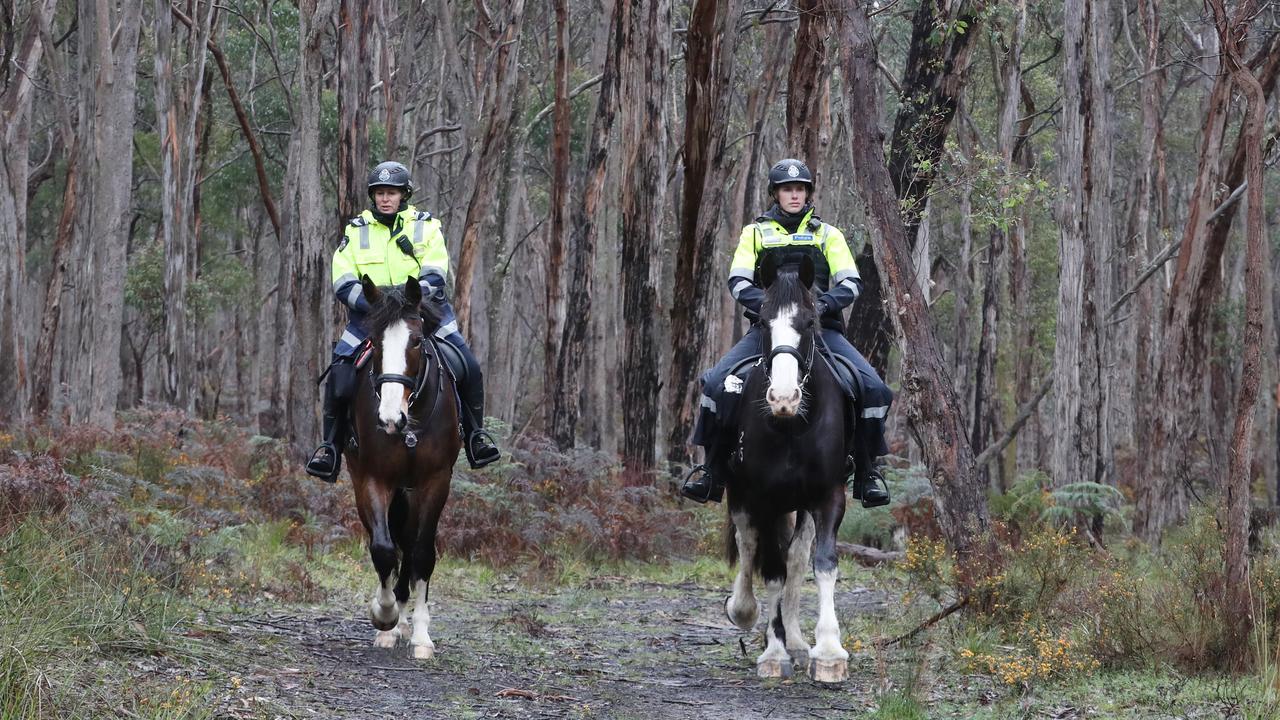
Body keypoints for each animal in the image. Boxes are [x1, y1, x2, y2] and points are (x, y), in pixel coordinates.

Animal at [345, 274, 460, 655]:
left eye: (417, 341)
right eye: (375, 342)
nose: (390, 419)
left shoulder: (435, 481)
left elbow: (422, 552)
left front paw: (422, 636)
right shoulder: (374, 478)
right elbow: (383, 550)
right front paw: (385, 617)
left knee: (410, 545)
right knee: (389, 541)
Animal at [721, 252, 849, 676]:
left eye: (809, 322)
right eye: (762, 321)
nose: (783, 398)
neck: (792, 425)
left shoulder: (828, 495)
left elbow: (822, 563)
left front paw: (828, 652)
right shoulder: (763, 499)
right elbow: (771, 570)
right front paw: (773, 654)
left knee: (796, 556)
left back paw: (795, 639)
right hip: (739, 493)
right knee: (748, 544)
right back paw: (745, 611)